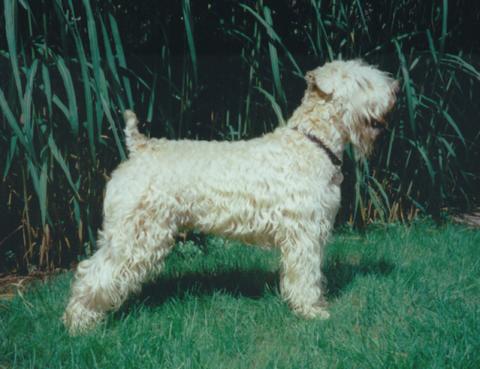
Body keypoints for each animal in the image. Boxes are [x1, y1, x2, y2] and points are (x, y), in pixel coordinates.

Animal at [62, 59, 398, 332]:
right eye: (362, 82)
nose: (395, 88)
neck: (313, 142)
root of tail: (140, 147)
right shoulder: (304, 233)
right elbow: (306, 275)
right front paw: (312, 311)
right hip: (135, 234)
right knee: (94, 272)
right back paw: (78, 323)